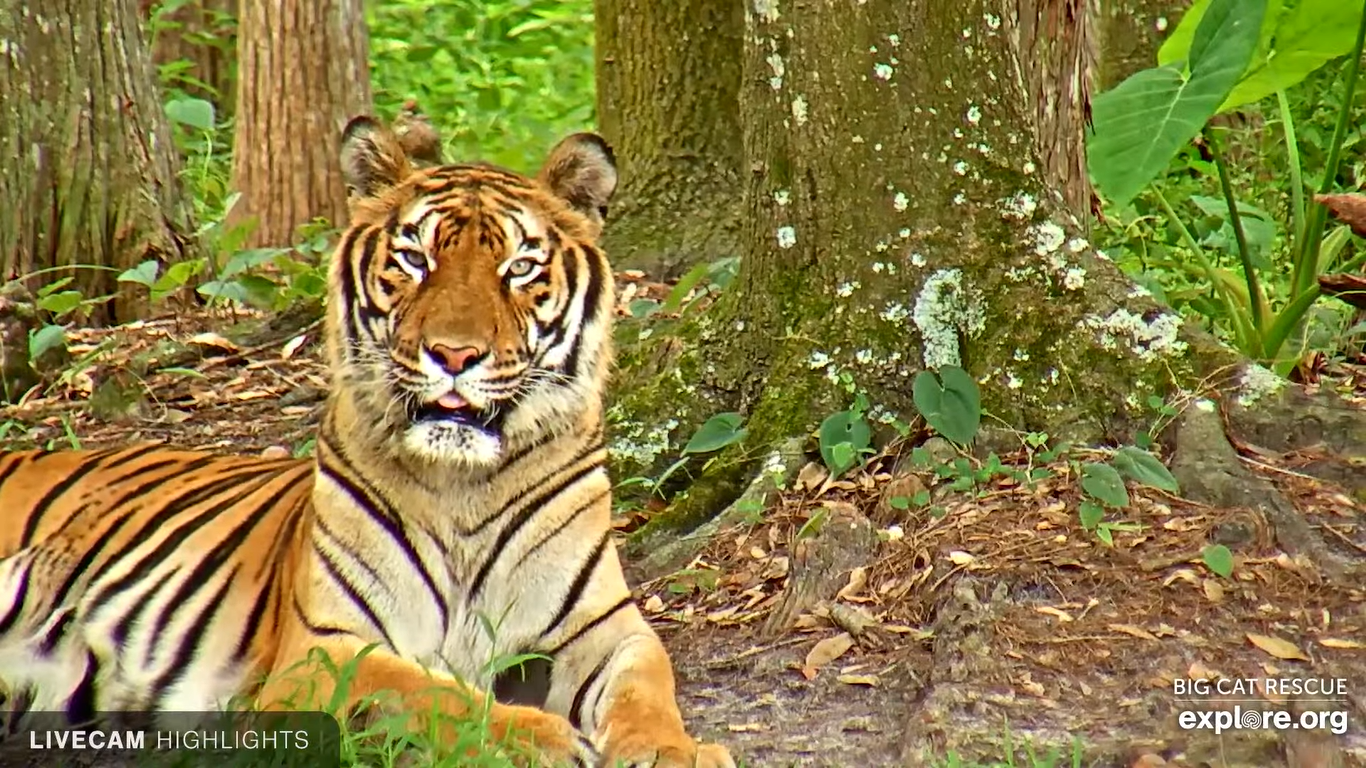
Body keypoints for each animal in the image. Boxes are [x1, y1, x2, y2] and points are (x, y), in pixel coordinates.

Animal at [0, 115, 735, 768]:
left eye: (520, 268)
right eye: (415, 259)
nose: (454, 354)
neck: (464, 487)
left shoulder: (606, 627)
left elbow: (646, 688)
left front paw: (675, 751)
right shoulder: (325, 648)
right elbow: (438, 695)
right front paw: (541, 738)